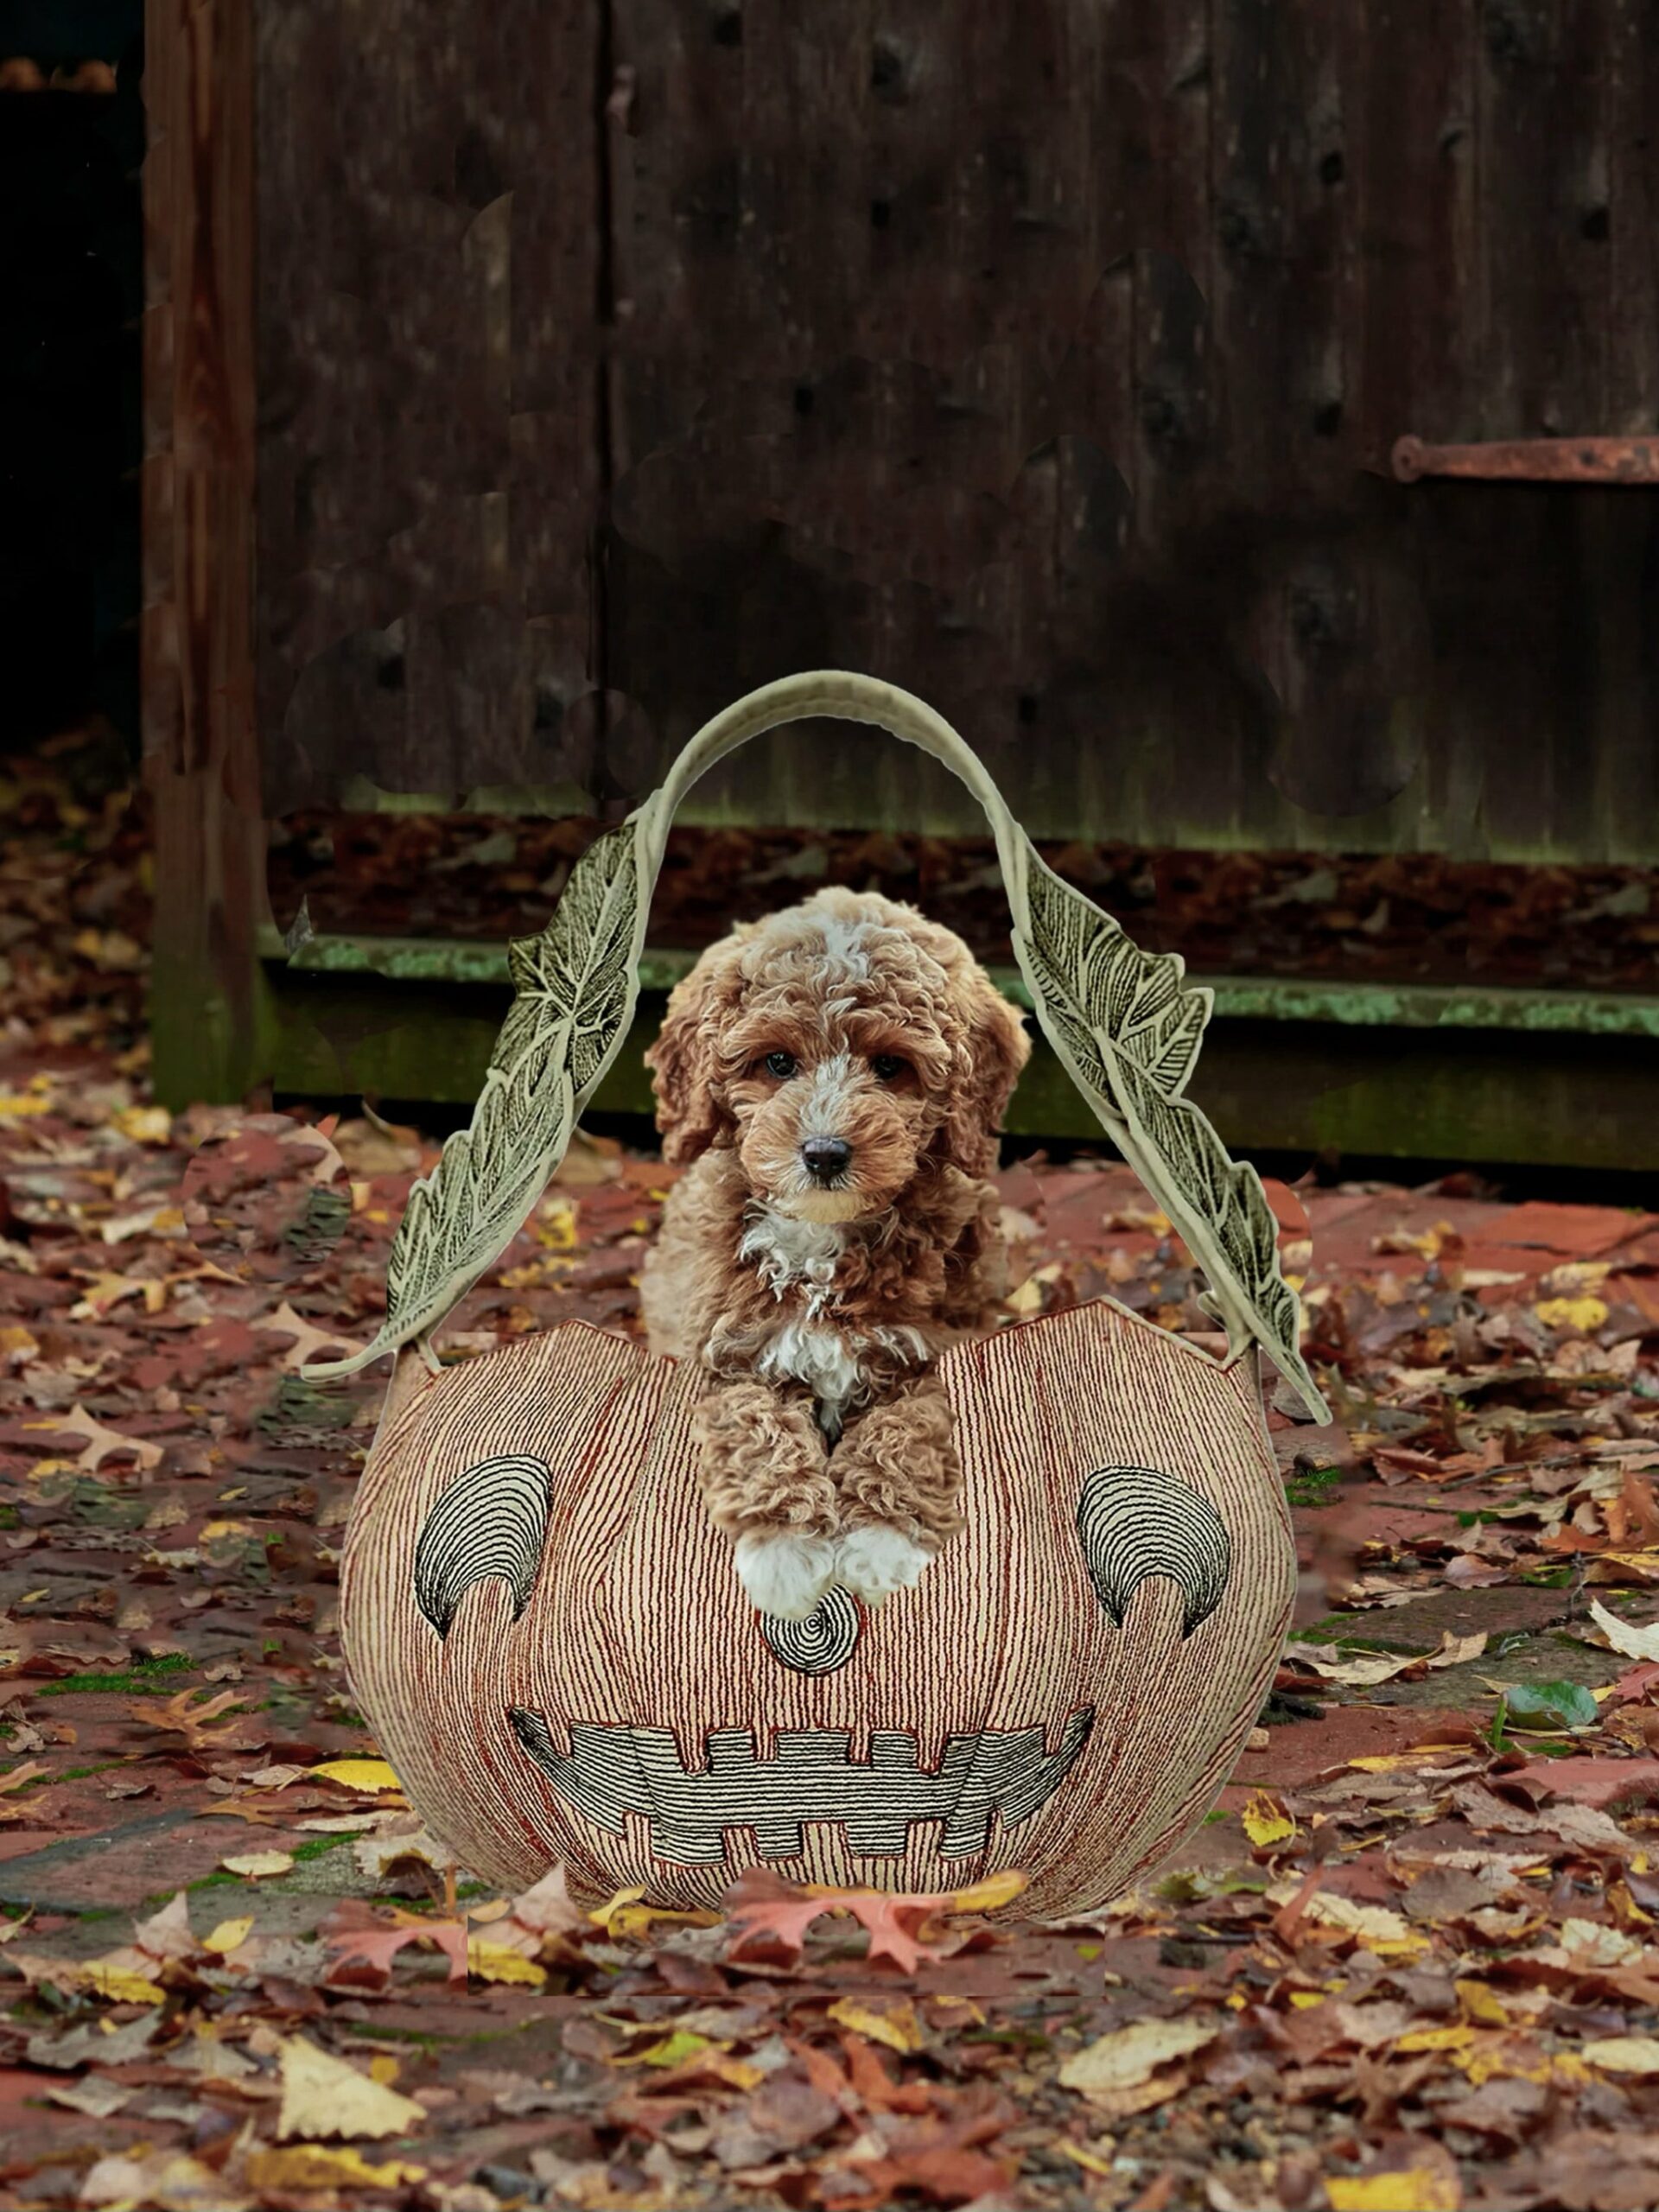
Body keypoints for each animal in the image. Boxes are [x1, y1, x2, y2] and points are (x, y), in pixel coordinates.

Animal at [641, 880, 1035, 1628]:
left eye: (890, 1067)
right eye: (777, 1063)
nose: (824, 1153)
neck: (821, 1245)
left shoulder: (932, 1347)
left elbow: (910, 1428)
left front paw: (881, 1545)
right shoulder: (726, 1352)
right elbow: (755, 1424)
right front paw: (788, 1555)